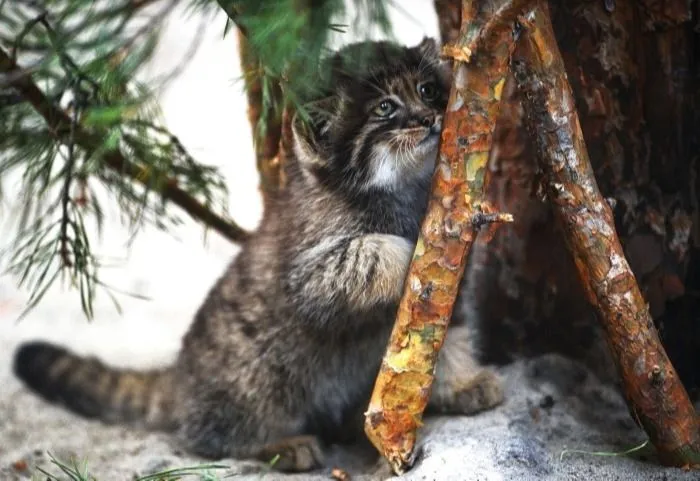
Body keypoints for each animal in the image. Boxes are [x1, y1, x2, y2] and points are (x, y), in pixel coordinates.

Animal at [10, 38, 504, 472]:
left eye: (426, 90)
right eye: (385, 108)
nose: (429, 118)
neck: (398, 191)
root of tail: (180, 377)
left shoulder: (440, 295)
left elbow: (443, 337)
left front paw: (462, 382)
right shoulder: (313, 273)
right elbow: (373, 252)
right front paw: (413, 245)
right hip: (259, 373)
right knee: (214, 435)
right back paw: (279, 444)